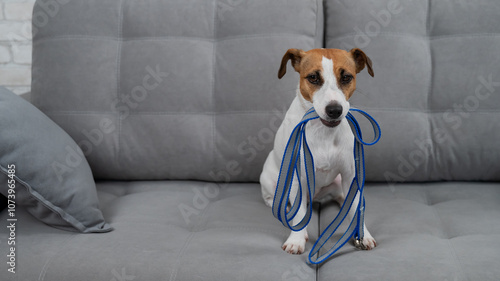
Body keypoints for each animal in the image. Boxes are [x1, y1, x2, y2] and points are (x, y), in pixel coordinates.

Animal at [262, 47, 376, 254]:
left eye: (346, 77)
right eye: (313, 77)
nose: (334, 110)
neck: (323, 131)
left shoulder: (351, 176)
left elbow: (356, 207)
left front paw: (362, 234)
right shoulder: (297, 177)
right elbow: (299, 214)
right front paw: (297, 239)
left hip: (339, 183)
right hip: (270, 179)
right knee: (275, 199)